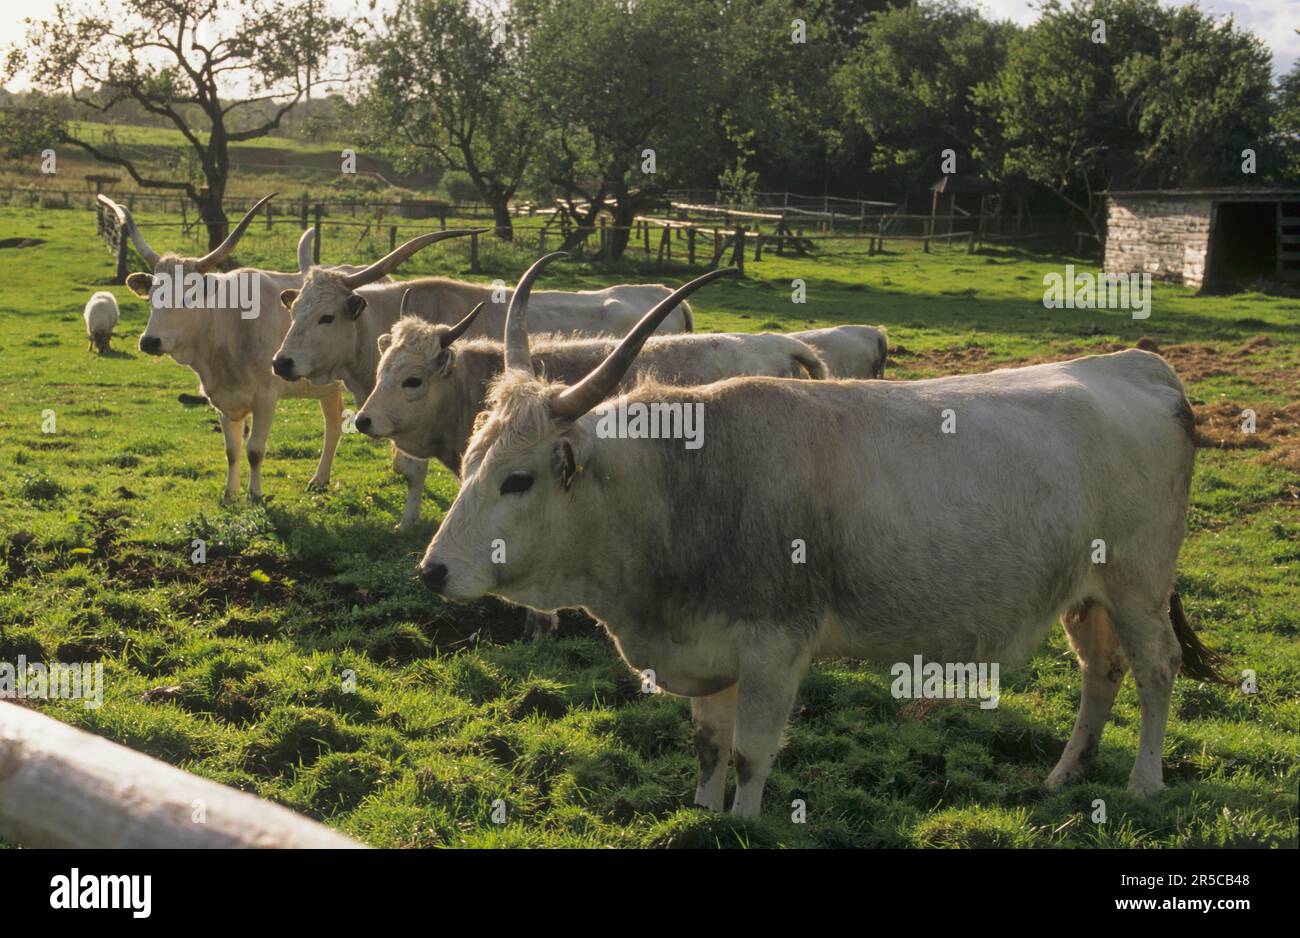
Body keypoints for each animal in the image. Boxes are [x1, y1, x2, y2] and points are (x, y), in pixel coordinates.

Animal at [101, 193, 365, 503]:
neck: (229, 327)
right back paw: (319, 479)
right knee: (333, 424)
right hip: (328, 387)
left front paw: (255, 495)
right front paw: (230, 494)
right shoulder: (222, 398)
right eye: (153, 295)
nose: (149, 341)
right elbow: (232, 450)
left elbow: (255, 450)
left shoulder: (266, 398)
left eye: (190, 295)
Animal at [415, 256, 1223, 817]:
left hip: (1138, 584)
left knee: (1156, 668)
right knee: (1100, 672)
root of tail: (1136, 365)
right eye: (471, 459)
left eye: (518, 479)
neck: (686, 480)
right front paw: (703, 814)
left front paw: (741, 821)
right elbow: (708, 747)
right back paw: (1063, 775)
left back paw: (1144, 782)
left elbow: (750, 756)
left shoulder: (775, 648)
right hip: (1086, 593)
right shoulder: (709, 645)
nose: (434, 572)